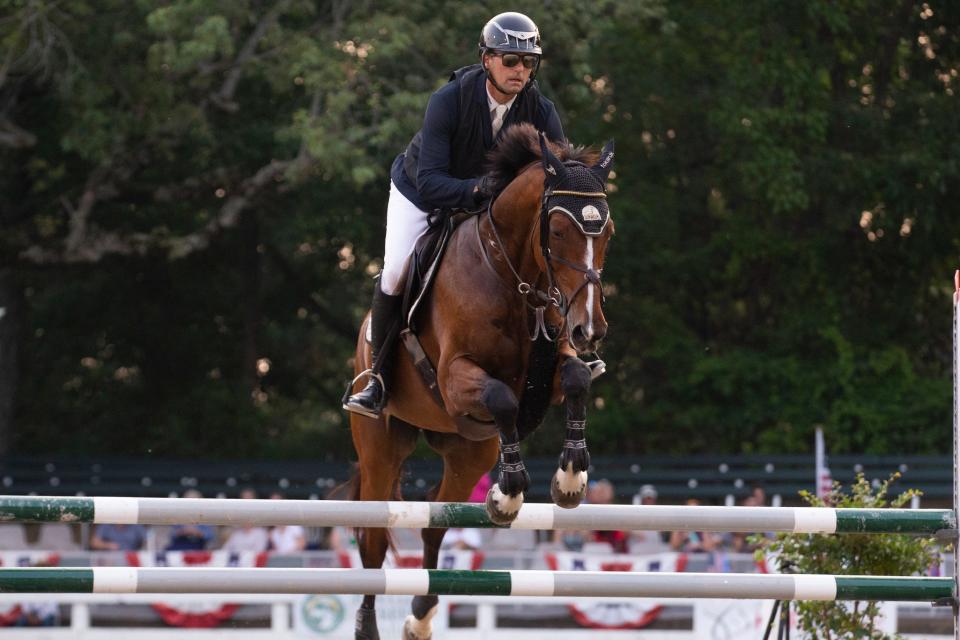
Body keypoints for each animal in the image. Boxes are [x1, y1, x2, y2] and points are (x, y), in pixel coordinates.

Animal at [348, 122, 612, 636]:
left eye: (607, 231)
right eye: (557, 230)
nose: (589, 330)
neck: (515, 279)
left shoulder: (553, 365)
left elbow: (576, 378)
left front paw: (570, 478)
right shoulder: (456, 379)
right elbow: (502, 398)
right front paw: (508, 495)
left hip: (469, 450)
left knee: (436, 516)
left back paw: (421, 617)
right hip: (381, 447)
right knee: (373, 538)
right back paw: (368, 625)